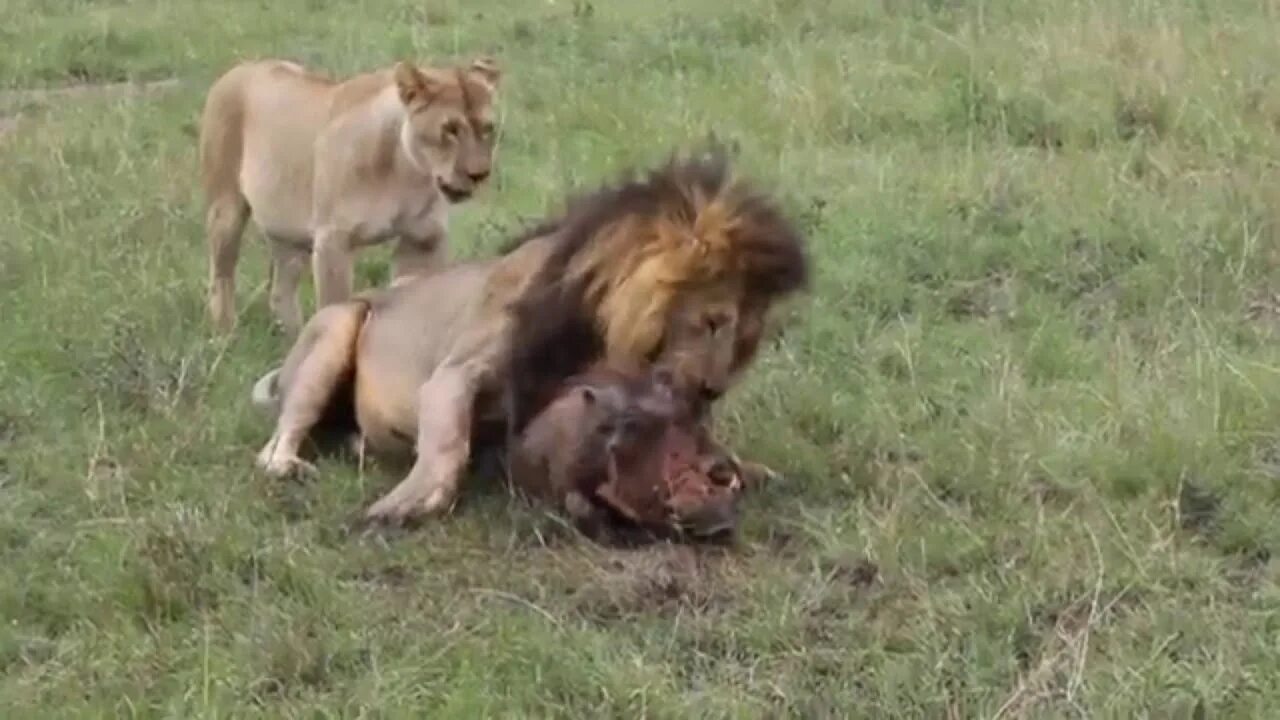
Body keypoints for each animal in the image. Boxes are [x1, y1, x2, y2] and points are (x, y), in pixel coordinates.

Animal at [198, 54, 499, 333]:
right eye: (450, 129)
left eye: (488, 128)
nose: (480, 174)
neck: (405, 171)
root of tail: (242, 67)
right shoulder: (333, 240)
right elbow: (333, 304)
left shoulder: (424, 238)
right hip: (226, 209)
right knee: (221, 276)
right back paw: (226, 333)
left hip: (288, 232)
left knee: (280, 292)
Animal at [249, 144, 808, 527]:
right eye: (713, 321)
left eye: (746, 342)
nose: (712, 390)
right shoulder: (457, 372)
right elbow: (447, 443)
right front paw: (414, 498)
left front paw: (747, 469)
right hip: (337, 326)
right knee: (275, 445)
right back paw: (291, 465)